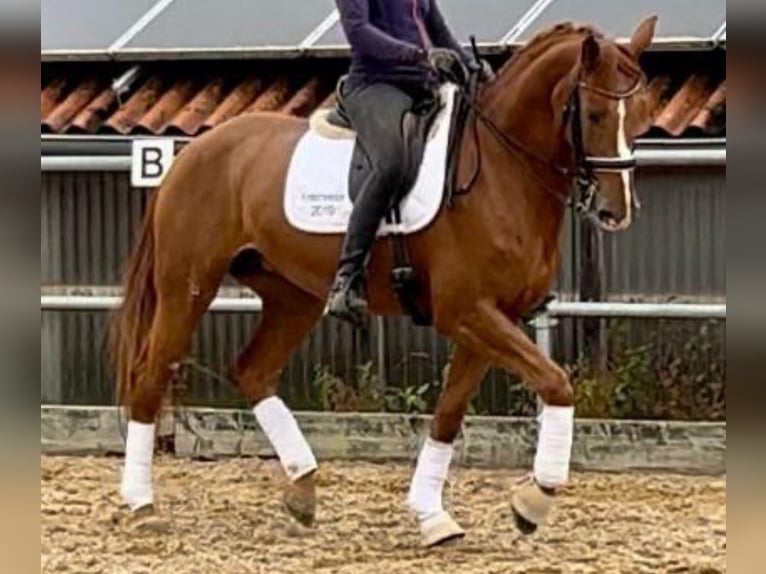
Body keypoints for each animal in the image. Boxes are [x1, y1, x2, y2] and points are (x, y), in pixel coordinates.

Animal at [111, 19, 656, 548]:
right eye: (595, 114)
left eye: (642, 116)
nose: (618, 211)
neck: (501, 174)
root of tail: (192, 154)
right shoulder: (467, 313)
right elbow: (556, 383)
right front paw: (534, 500)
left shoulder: (489, 320)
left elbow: (449, 414)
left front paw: (434, 517)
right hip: (187, 288)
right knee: (149, 378)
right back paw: (143, 507)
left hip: (293, 297)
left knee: (251, 371)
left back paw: (303, 489)